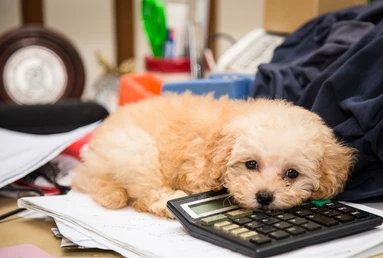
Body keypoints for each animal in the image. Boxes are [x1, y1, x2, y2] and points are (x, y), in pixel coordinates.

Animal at [71, 92, 354, 218]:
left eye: (292, 174)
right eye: (251, 164)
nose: (264, 197)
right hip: (136, 150)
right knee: (147, 193)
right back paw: (167, 202)